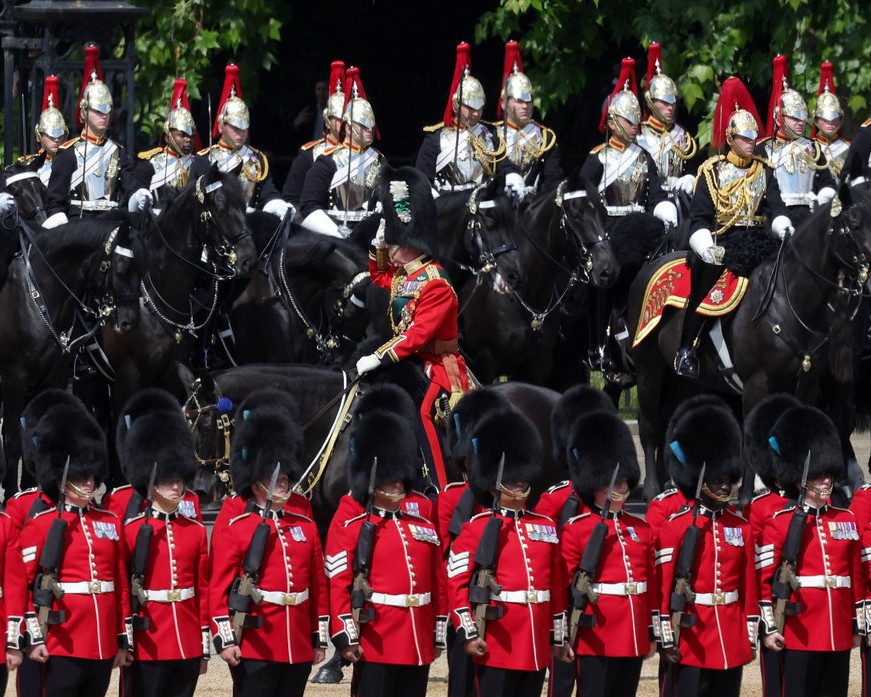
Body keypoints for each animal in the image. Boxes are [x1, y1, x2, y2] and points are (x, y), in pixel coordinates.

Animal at [0, 218, 143, 494]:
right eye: (121, 269)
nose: (130, 322)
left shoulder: (53, 377)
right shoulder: (13, 377)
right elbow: (12, 440)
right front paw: (12, 495)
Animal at [632, 198, 871, 502]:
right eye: (853, 225)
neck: (788, 300)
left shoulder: (809, 383)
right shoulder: (756, 384)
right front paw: (749, 495)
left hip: (684, 381)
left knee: (675, 422)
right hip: (648, 368)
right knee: (650, 425)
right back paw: (653, 489)